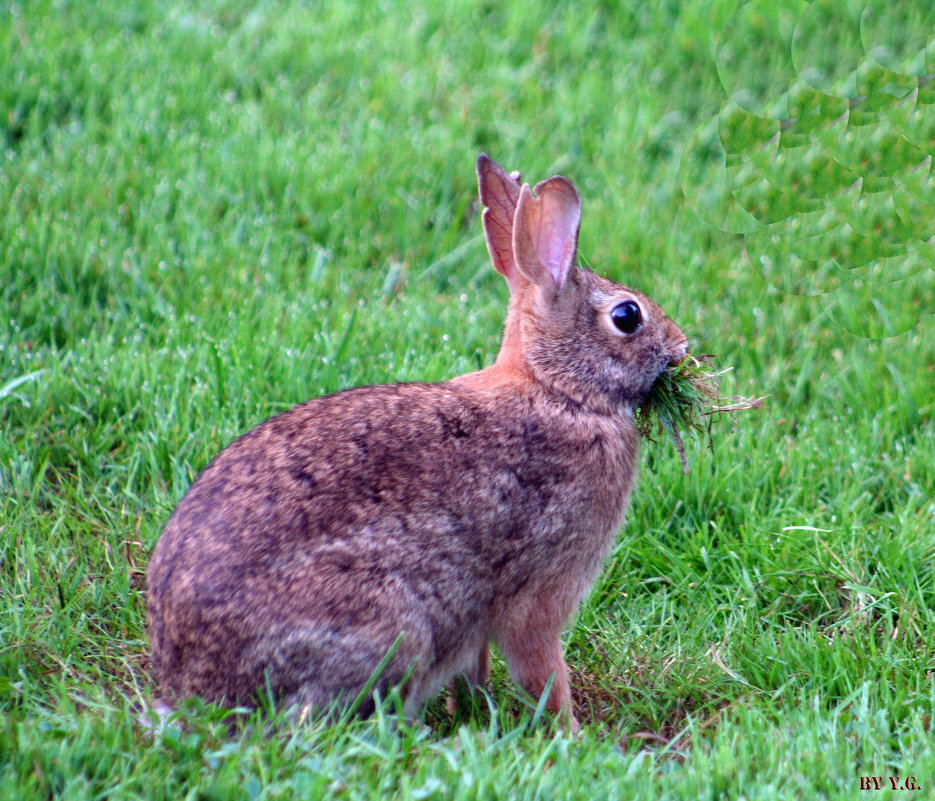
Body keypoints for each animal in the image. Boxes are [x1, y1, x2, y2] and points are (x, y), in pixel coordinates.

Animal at [144, 153, 688, 728]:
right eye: (627, 316)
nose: (682, 346)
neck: (557, 389)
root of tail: (192, 692)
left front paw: (473, 710)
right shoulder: (539, 594)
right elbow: (541, 669)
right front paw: (572, 733)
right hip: (390, 624)